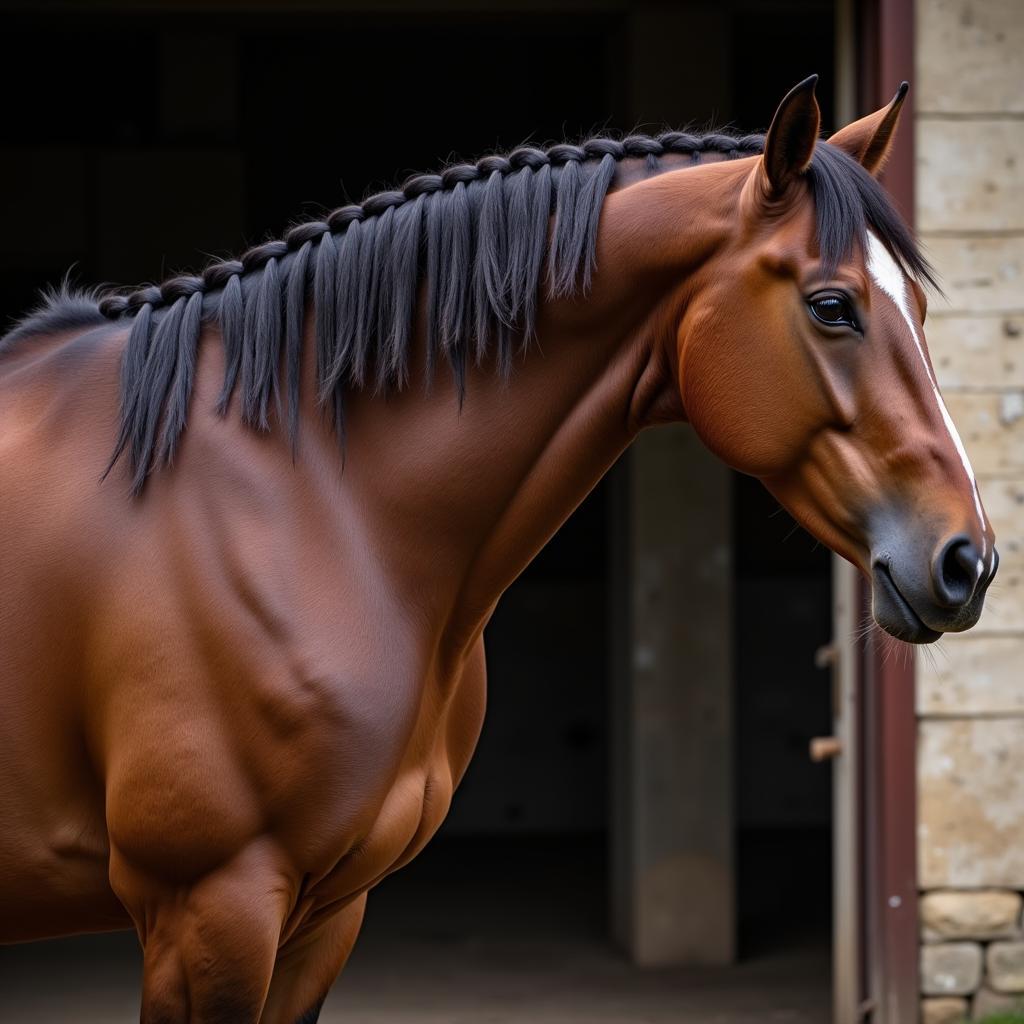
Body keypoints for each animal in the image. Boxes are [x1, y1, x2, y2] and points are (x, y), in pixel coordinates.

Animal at [0, 79, 991, 1024]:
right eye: (832, 306)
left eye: (918, 307)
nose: (967, 560)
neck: (306, 504)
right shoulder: (211, 910)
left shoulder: (323, 919)